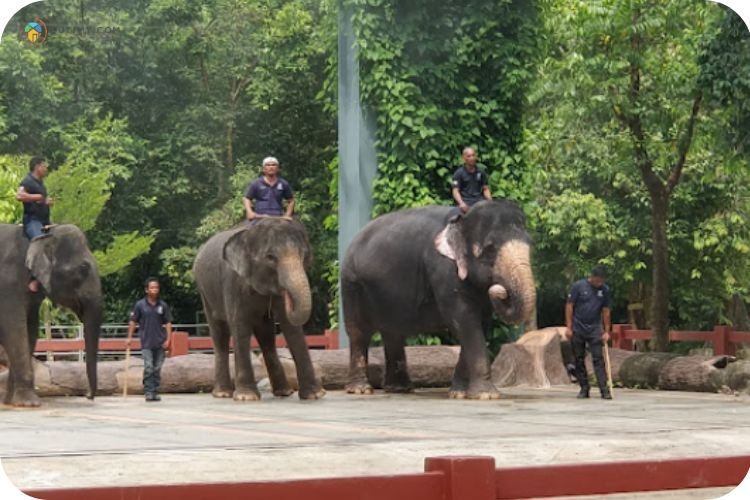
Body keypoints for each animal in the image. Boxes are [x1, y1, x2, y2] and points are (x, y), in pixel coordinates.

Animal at [0, 225, 102, 408]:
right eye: (83, 268)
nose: (87, 395)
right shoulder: (7, 285)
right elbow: (14, 331)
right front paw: (30, 403)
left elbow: (30, 330)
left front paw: (13, 402)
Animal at [192, 219, 324, 402]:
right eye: (270, 257)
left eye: (304, 255)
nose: (287, 296)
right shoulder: (233, 283)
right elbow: (239, 326)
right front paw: (246, 397)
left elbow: (292, 329)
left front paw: (314, 395)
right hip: (205, 292)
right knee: (220, 334)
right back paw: (223, 393)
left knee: (266, 337)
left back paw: (284, 392)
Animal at [344, 199, 536, 398]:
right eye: (490, 248)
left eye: (531, 244)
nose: (498, 289)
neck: (463, 218)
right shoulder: (443, 269)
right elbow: (464, 320)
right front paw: (486, 396)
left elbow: (480, 322)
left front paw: (459, 393)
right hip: (351, 284)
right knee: (359, 332)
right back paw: (361, 390)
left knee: (393, 332)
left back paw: (399, 388)